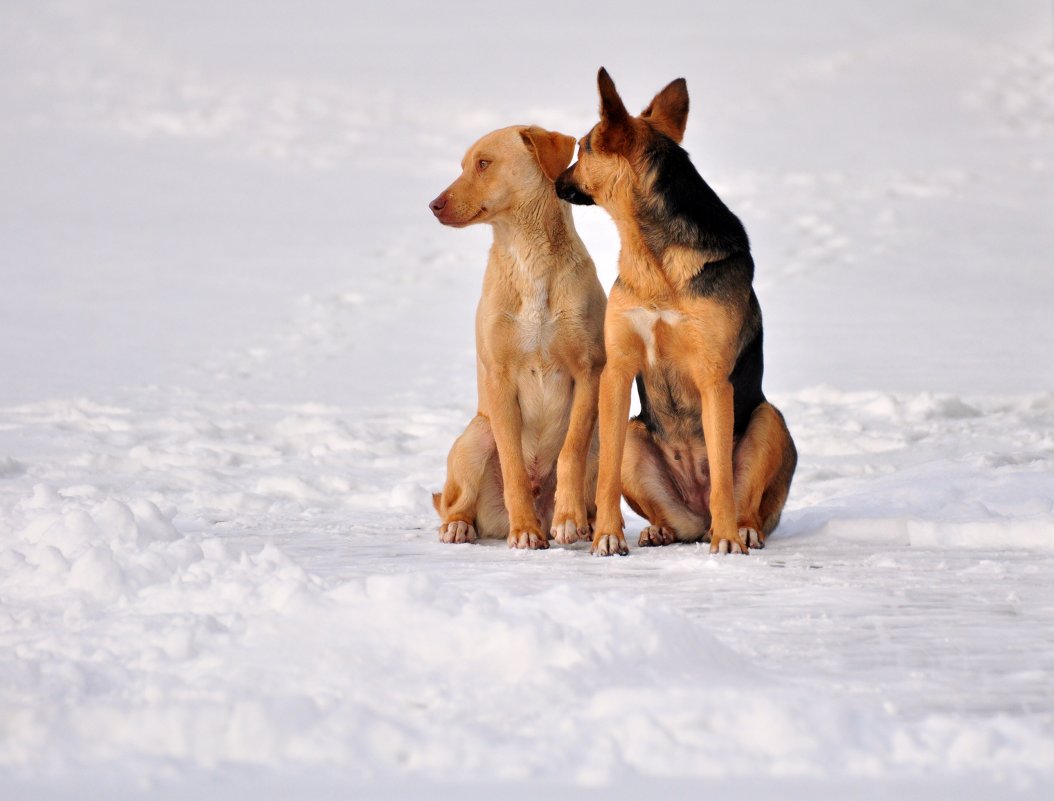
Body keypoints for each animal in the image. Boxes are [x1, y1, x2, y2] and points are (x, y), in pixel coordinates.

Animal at [427, 126, 611, 552]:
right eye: (464, 164)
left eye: (483, 163)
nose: (434, 205)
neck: (530, 258)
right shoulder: (500, 378)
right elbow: (511, 464)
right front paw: (524, 530)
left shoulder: (588, 371)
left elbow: (571, 452)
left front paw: (568, 518)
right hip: (476, 436)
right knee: (455, 504)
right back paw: (460, 526)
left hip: (602, 442)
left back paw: (585, 525)